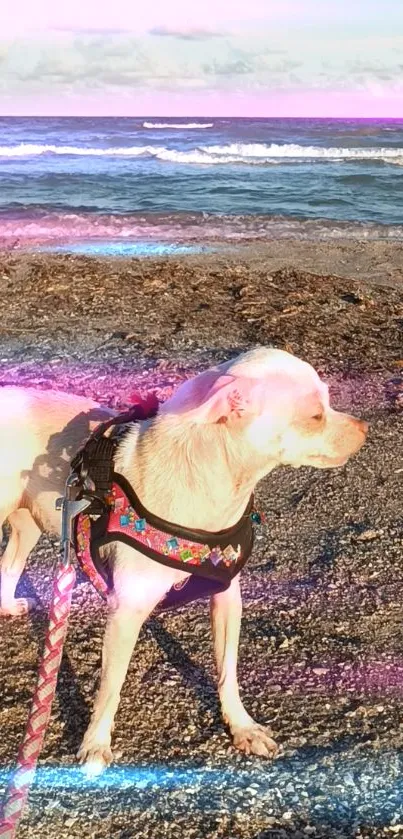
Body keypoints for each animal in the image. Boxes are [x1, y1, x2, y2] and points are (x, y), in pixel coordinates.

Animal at [0, 346, 370, 776]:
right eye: (315, 416)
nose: (364, 428)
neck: (217, 486)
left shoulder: (227, 596)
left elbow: (227, 671)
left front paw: (241, 727)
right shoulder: (126, 611)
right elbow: (111, 685)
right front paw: (95, 744)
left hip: (29, 524)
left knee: (8, 564)